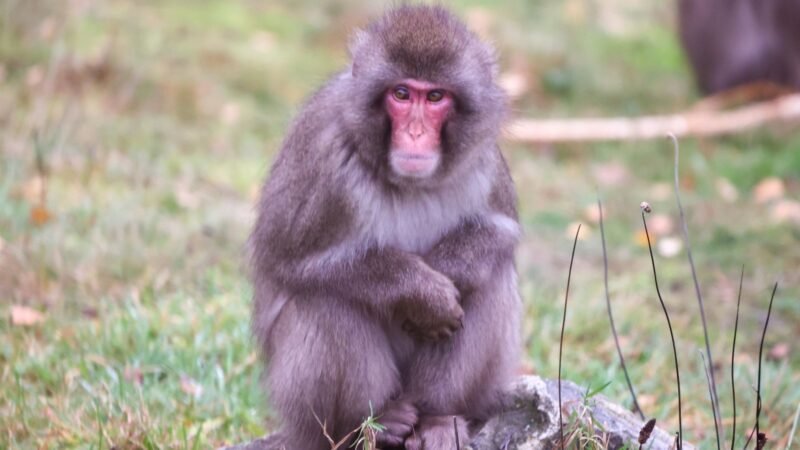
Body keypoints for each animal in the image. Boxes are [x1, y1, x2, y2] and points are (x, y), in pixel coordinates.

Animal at [249, 5, 521, 450]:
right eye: (401, 94)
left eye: (435, 97)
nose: (415, 132)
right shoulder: (322, 155)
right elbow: (287, 259)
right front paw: (422, 292)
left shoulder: (482, 158)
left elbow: (500, 231)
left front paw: (450, 272)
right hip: (306, 415)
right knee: (326, 299)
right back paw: (371, 424)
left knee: (489, 278)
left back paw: (437, 416)